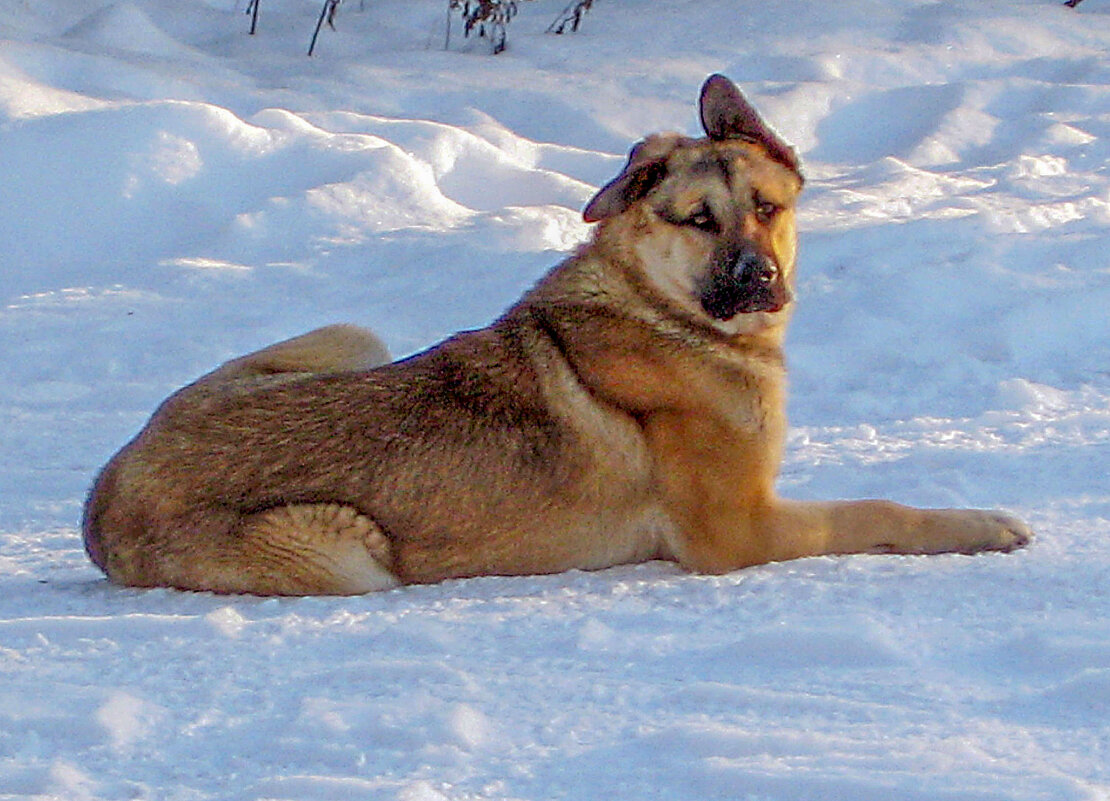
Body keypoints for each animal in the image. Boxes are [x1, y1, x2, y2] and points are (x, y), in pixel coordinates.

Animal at [84, 74, 1030, 594]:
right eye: (699, 219)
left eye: (767, 207)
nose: (757, 279)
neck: (662, 308)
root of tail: (104, 490)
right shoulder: (740, 531)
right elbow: (881, 509)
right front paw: (980, 523)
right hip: (351, 553)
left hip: (354, 334)